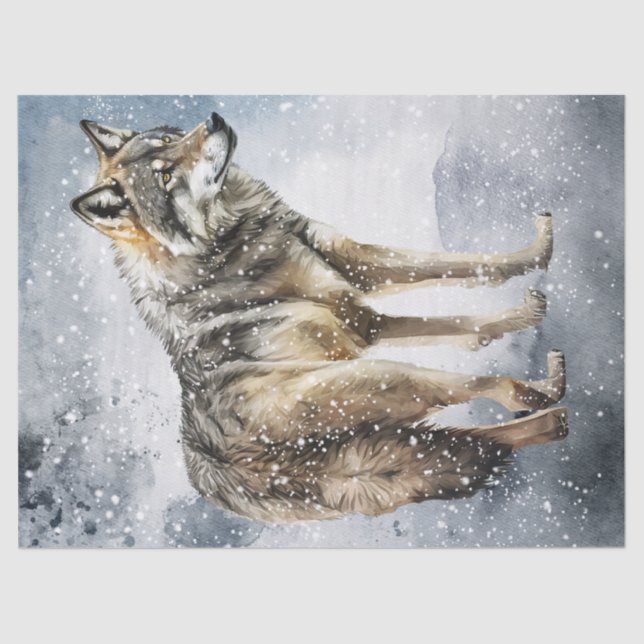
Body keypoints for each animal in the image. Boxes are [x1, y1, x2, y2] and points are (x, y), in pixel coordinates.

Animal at [71, 111, 568, 523]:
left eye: (169, 140)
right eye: (166, 176)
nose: (213, 119)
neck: (227, 243)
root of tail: (217, 468)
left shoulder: (354, 263)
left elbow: (465, 265)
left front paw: (540, 250)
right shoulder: (362, 319)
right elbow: (465, 322)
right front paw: (525, 310)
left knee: (480, 440)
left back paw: (553, 413)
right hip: (382, 376)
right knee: (488, 394)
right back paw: (546, 391)